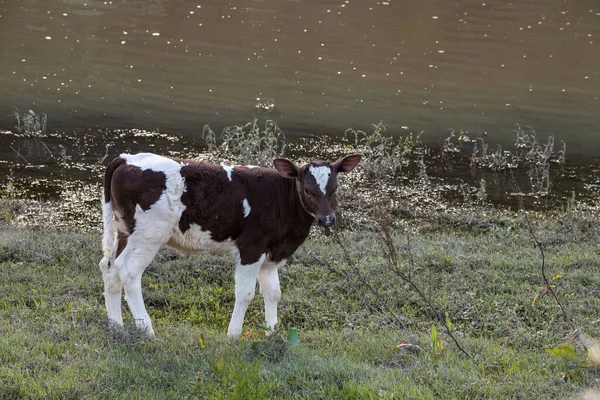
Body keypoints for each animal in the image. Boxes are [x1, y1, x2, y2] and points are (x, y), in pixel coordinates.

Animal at [99, 153, 360, 338]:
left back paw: (116, 327)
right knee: (128, 272)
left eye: (335, 188)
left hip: (126, 230)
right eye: (307, 190)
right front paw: (233, 335)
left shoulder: (271, 254)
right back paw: (147, 330)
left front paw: (272, 334)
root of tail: (126, 158)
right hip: (149, 234)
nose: (327, 219)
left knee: (109, 269)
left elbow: (273, 293)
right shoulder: (251, 247)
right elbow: (245, 293)